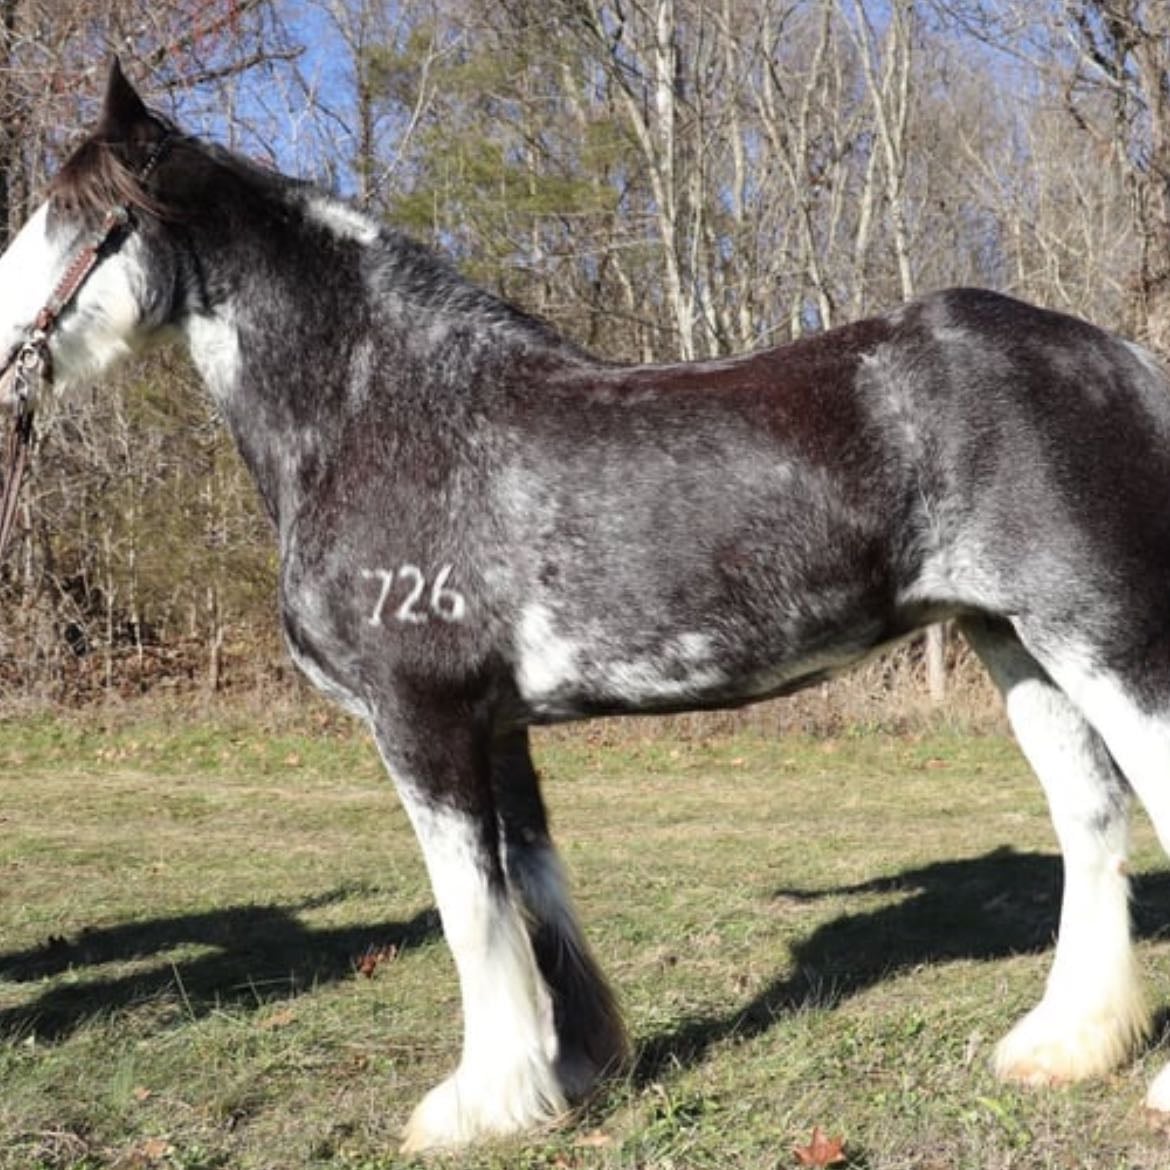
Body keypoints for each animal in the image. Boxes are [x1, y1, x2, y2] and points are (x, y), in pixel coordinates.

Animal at [2, 59, 1170, 1151]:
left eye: (70, 214)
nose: (4, 352)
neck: (382, 413)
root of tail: (1123, 359)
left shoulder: (422, 720)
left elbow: (470, 910)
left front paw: (477, 1104)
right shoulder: (495, 725)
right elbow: (531, 888)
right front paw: (568, 1071)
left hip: (1105, 641)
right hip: (1015, 644)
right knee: (1089, 817)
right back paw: (1063, 1045)